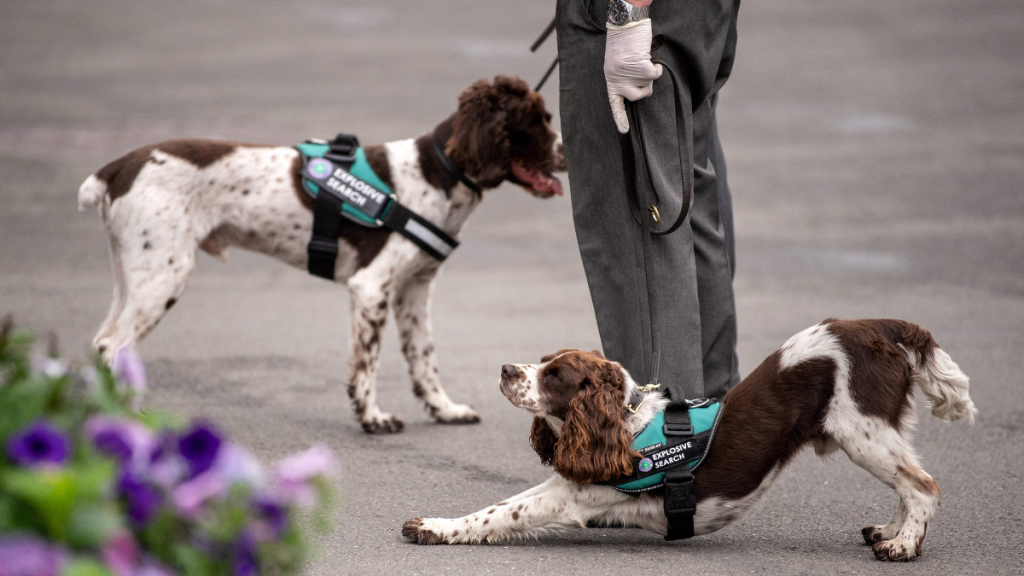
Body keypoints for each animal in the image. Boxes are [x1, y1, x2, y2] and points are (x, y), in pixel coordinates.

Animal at [77, 75, 569, 430]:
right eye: (537, 120)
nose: (568, 151)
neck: (437, 173)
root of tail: (117, 167)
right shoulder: (372, 287)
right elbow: (367, 363)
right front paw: (372, 418)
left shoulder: (414, 289)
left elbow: (424, 358)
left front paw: (444, 409)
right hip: (164, 273)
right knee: (113, 347)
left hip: (133, 273)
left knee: (101, 343)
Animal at [401, 315, 974, 557]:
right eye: (540, 361)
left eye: (555, 375)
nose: (504, 369)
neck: (625, 422)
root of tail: (880, 327)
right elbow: (502, 506)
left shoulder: (572, 494)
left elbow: (498, 511)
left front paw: (432, 527)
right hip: (876, 434)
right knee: (908, 484)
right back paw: (889, 531)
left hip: (862, 432)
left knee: (923, 486)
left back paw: (902, 546)